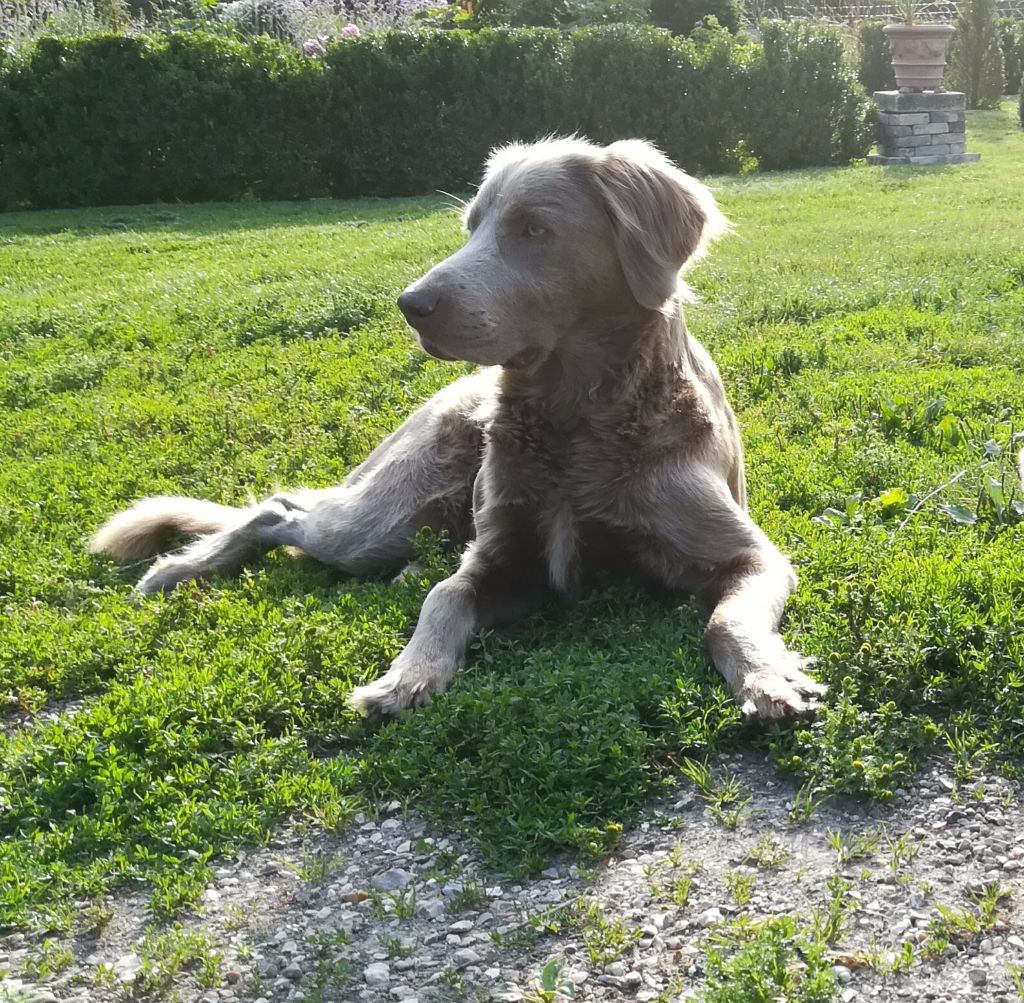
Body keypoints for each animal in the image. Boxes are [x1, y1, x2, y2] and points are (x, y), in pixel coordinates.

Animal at [90, 139, 823, 721]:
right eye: (471, 227)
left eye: (534, 229)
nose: (410, 305)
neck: (577, 418)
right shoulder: (502, 557)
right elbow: (444, 597)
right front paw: (406, 677)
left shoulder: (750, 555)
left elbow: (726, 620)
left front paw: (768, 679)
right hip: (384, 518)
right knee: (280, 508)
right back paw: (179, 568)